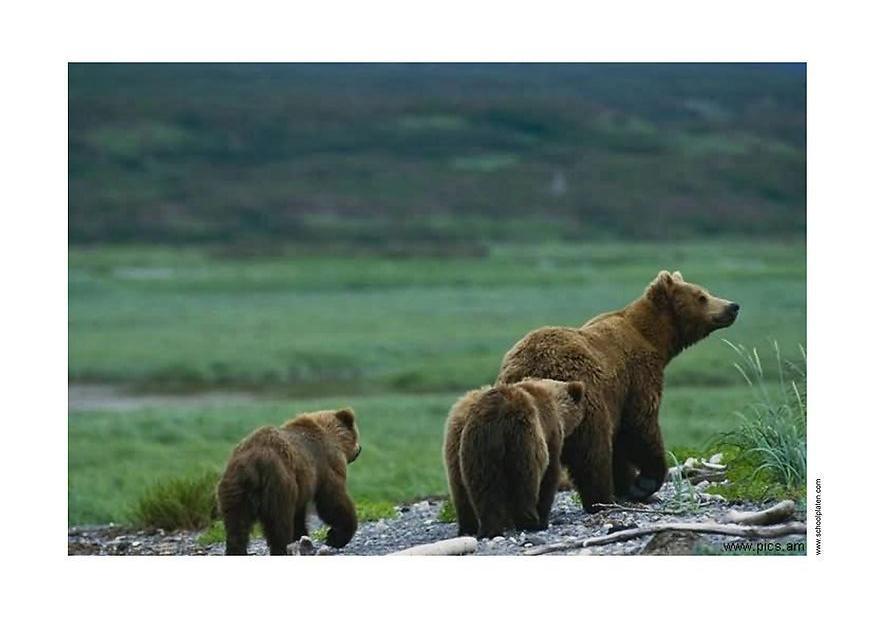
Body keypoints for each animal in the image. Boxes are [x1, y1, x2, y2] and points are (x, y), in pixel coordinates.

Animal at [217, 408, 361, 555]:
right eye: (357, 434)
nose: (359, 449)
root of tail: (253, 462)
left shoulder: (303, 485)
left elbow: (299, 515)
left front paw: (303, 537)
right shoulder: (325, 465)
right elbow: (333, 500)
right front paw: (335, 537)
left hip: (236, 489)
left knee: (236, 524)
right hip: (279, 484)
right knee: (279, 524)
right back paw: (281, 549)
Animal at [443, 378, 585, 538]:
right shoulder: (550, 433)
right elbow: (550, 475)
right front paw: (544, 519)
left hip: (475, 449)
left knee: (479, 487)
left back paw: (481, 528)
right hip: (523, 439)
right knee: (525, 483)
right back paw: (530, 522)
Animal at [496, 270, 739, 512]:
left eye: (706, 292)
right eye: (701, 297)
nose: (733, 306)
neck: (654, 338)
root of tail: (528, 368)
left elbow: (621, 446)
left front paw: (630, 487)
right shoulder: (637, 378)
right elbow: (639, 425)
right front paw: (643, 484)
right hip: (584, 399)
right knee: (593, 453)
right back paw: (603, 499)